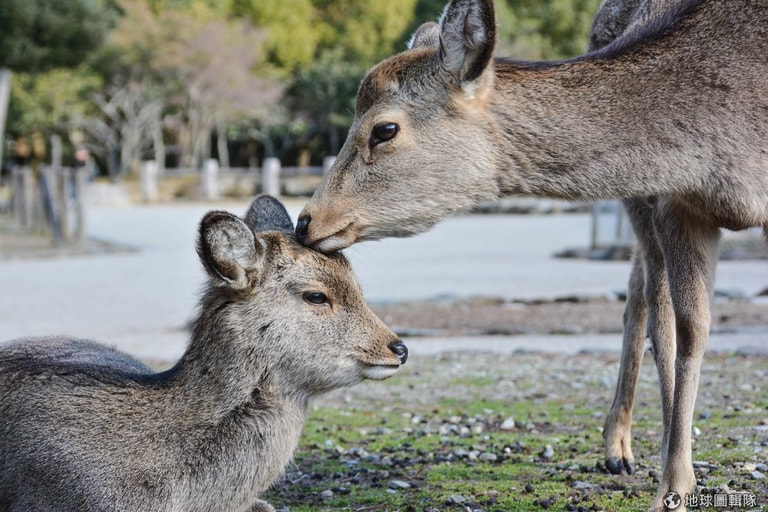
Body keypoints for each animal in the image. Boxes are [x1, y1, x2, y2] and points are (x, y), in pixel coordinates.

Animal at [296, 2, 768, 510]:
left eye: (384, 129)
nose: (306, 221)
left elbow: (689, 330)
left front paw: (674, 483)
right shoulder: (675, 200)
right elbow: (686, 329)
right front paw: (674, 485)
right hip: (638, 199)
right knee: (645, 295)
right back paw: (619, 448)